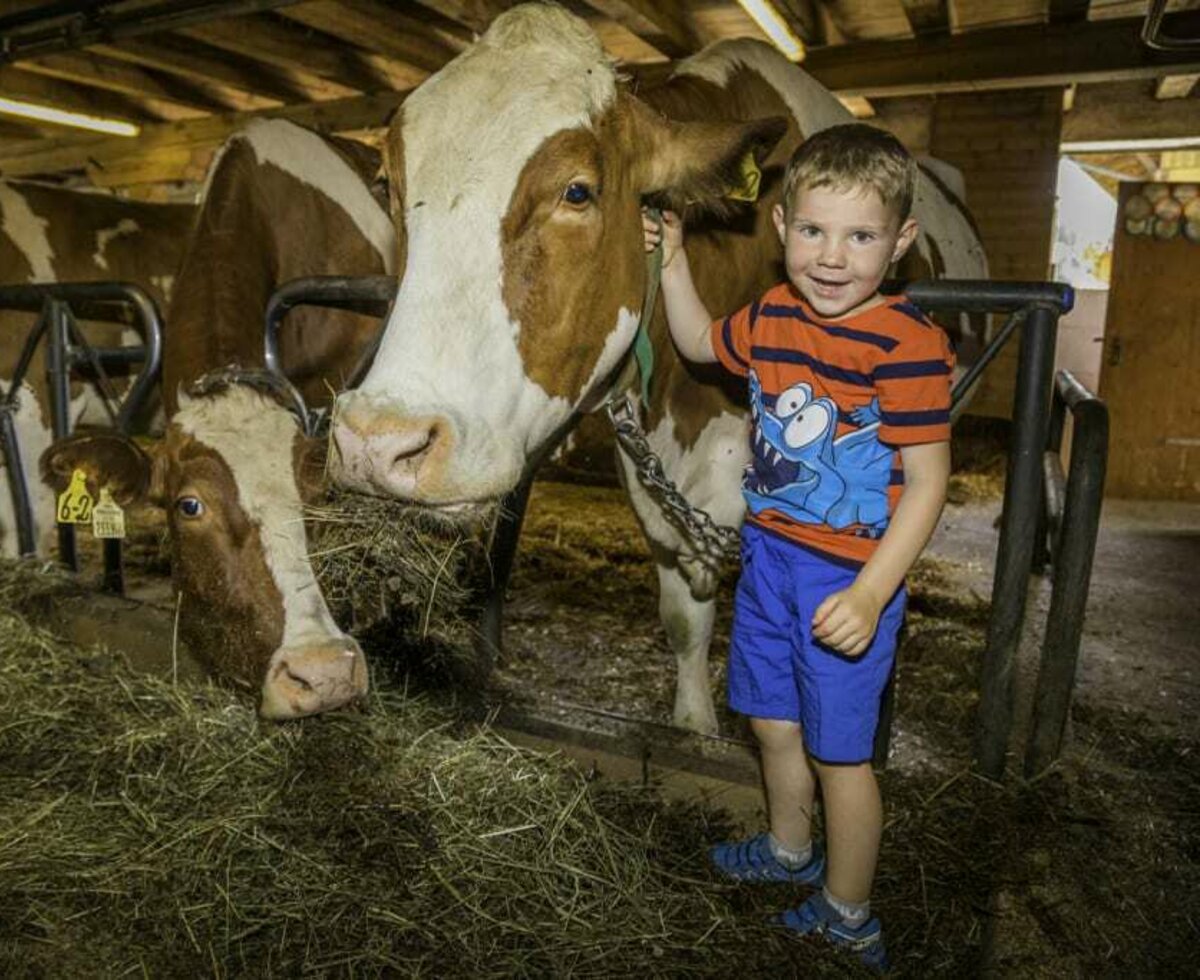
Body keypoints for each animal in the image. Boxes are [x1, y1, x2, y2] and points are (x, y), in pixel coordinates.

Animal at [333, 3, 988, 729]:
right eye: (389, 186)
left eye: (578, 191)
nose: (378, 441)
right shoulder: (659, 488)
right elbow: (683, 618)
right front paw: (695, 723)